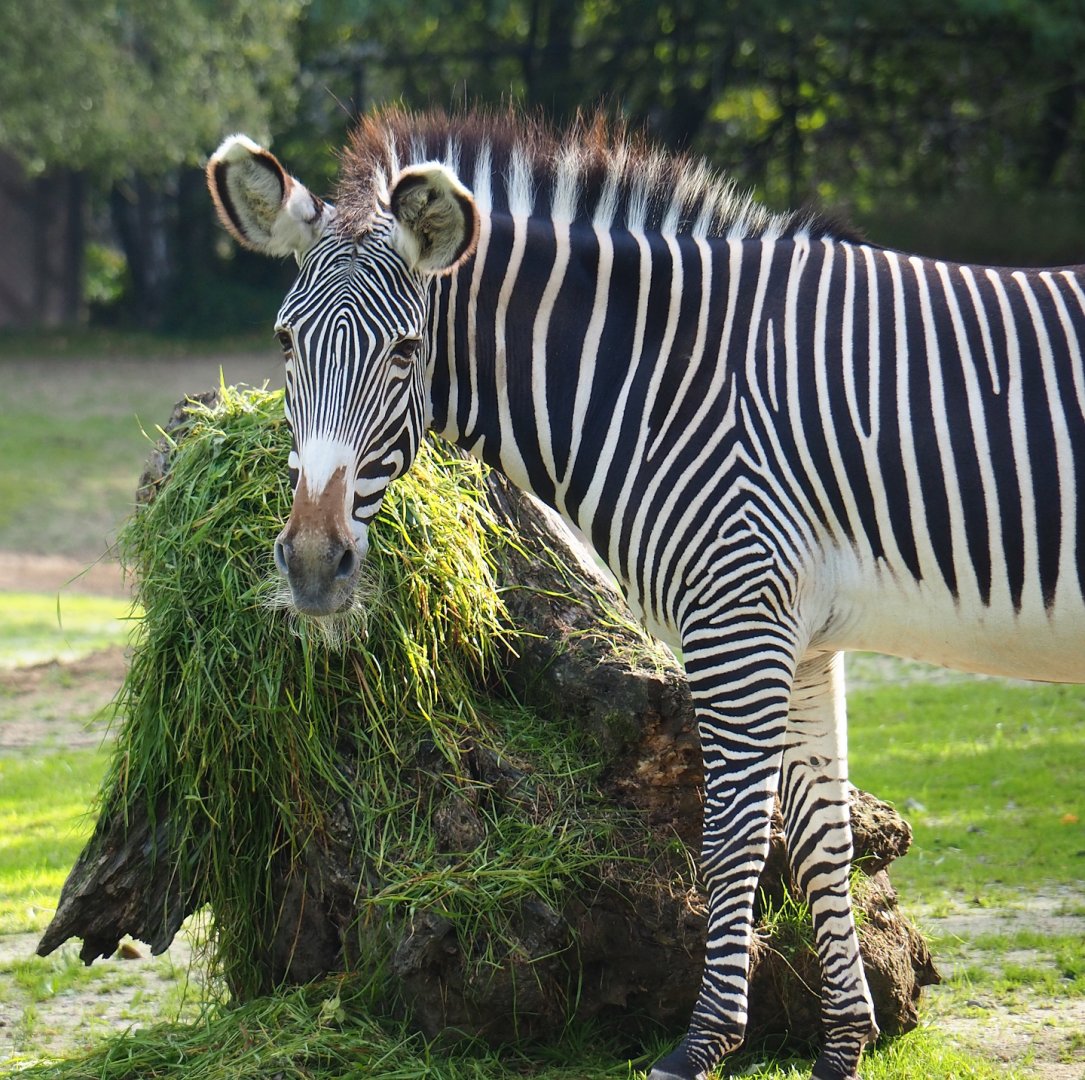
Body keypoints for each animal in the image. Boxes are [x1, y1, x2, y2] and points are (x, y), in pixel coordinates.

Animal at [207, 109, 1085, 1080]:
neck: (666, 386)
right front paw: (841, 1049)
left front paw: (701, 1045)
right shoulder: (803, 637)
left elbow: (732, 839)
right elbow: (821, 841)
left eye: (404, 351)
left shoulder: (737, 621)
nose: (311, 565)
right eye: (285, 343)